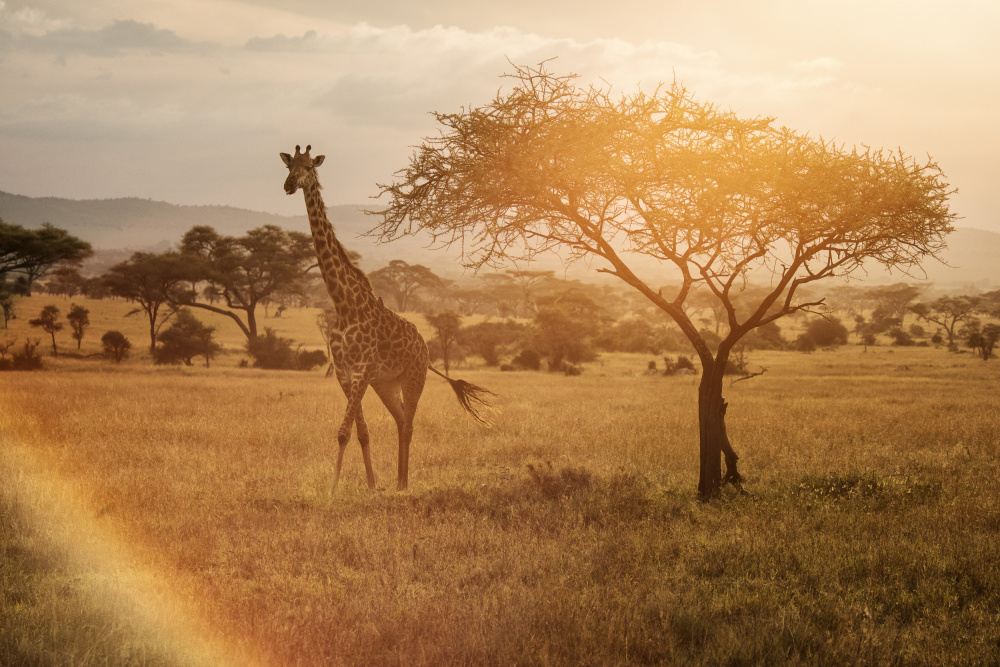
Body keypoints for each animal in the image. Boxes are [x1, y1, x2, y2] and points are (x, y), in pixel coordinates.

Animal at [280, 144, 495, 491]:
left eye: (309, 167)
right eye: (289, 166)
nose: (288, 185)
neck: (344, 304)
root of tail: (425, 347)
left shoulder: (362, 369)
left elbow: (344, 432)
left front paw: (332, 489)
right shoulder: (345, 373)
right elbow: (361, 432)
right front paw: (370, 485)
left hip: (414, 377)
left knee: (408, 424)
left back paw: (404, 485)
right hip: (387, 384)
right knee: (400, 419)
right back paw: (397, 481)